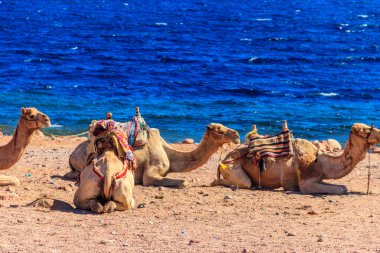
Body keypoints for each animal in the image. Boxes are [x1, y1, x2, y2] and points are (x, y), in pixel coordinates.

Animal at [215, 121, 378, 195]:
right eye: (365, 130)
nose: (379, 133)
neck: (319, 162)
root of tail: (223, 160)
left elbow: (343, 187)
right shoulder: (306, 183)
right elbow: (341, 189)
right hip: (232, 167)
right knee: (242, 182)